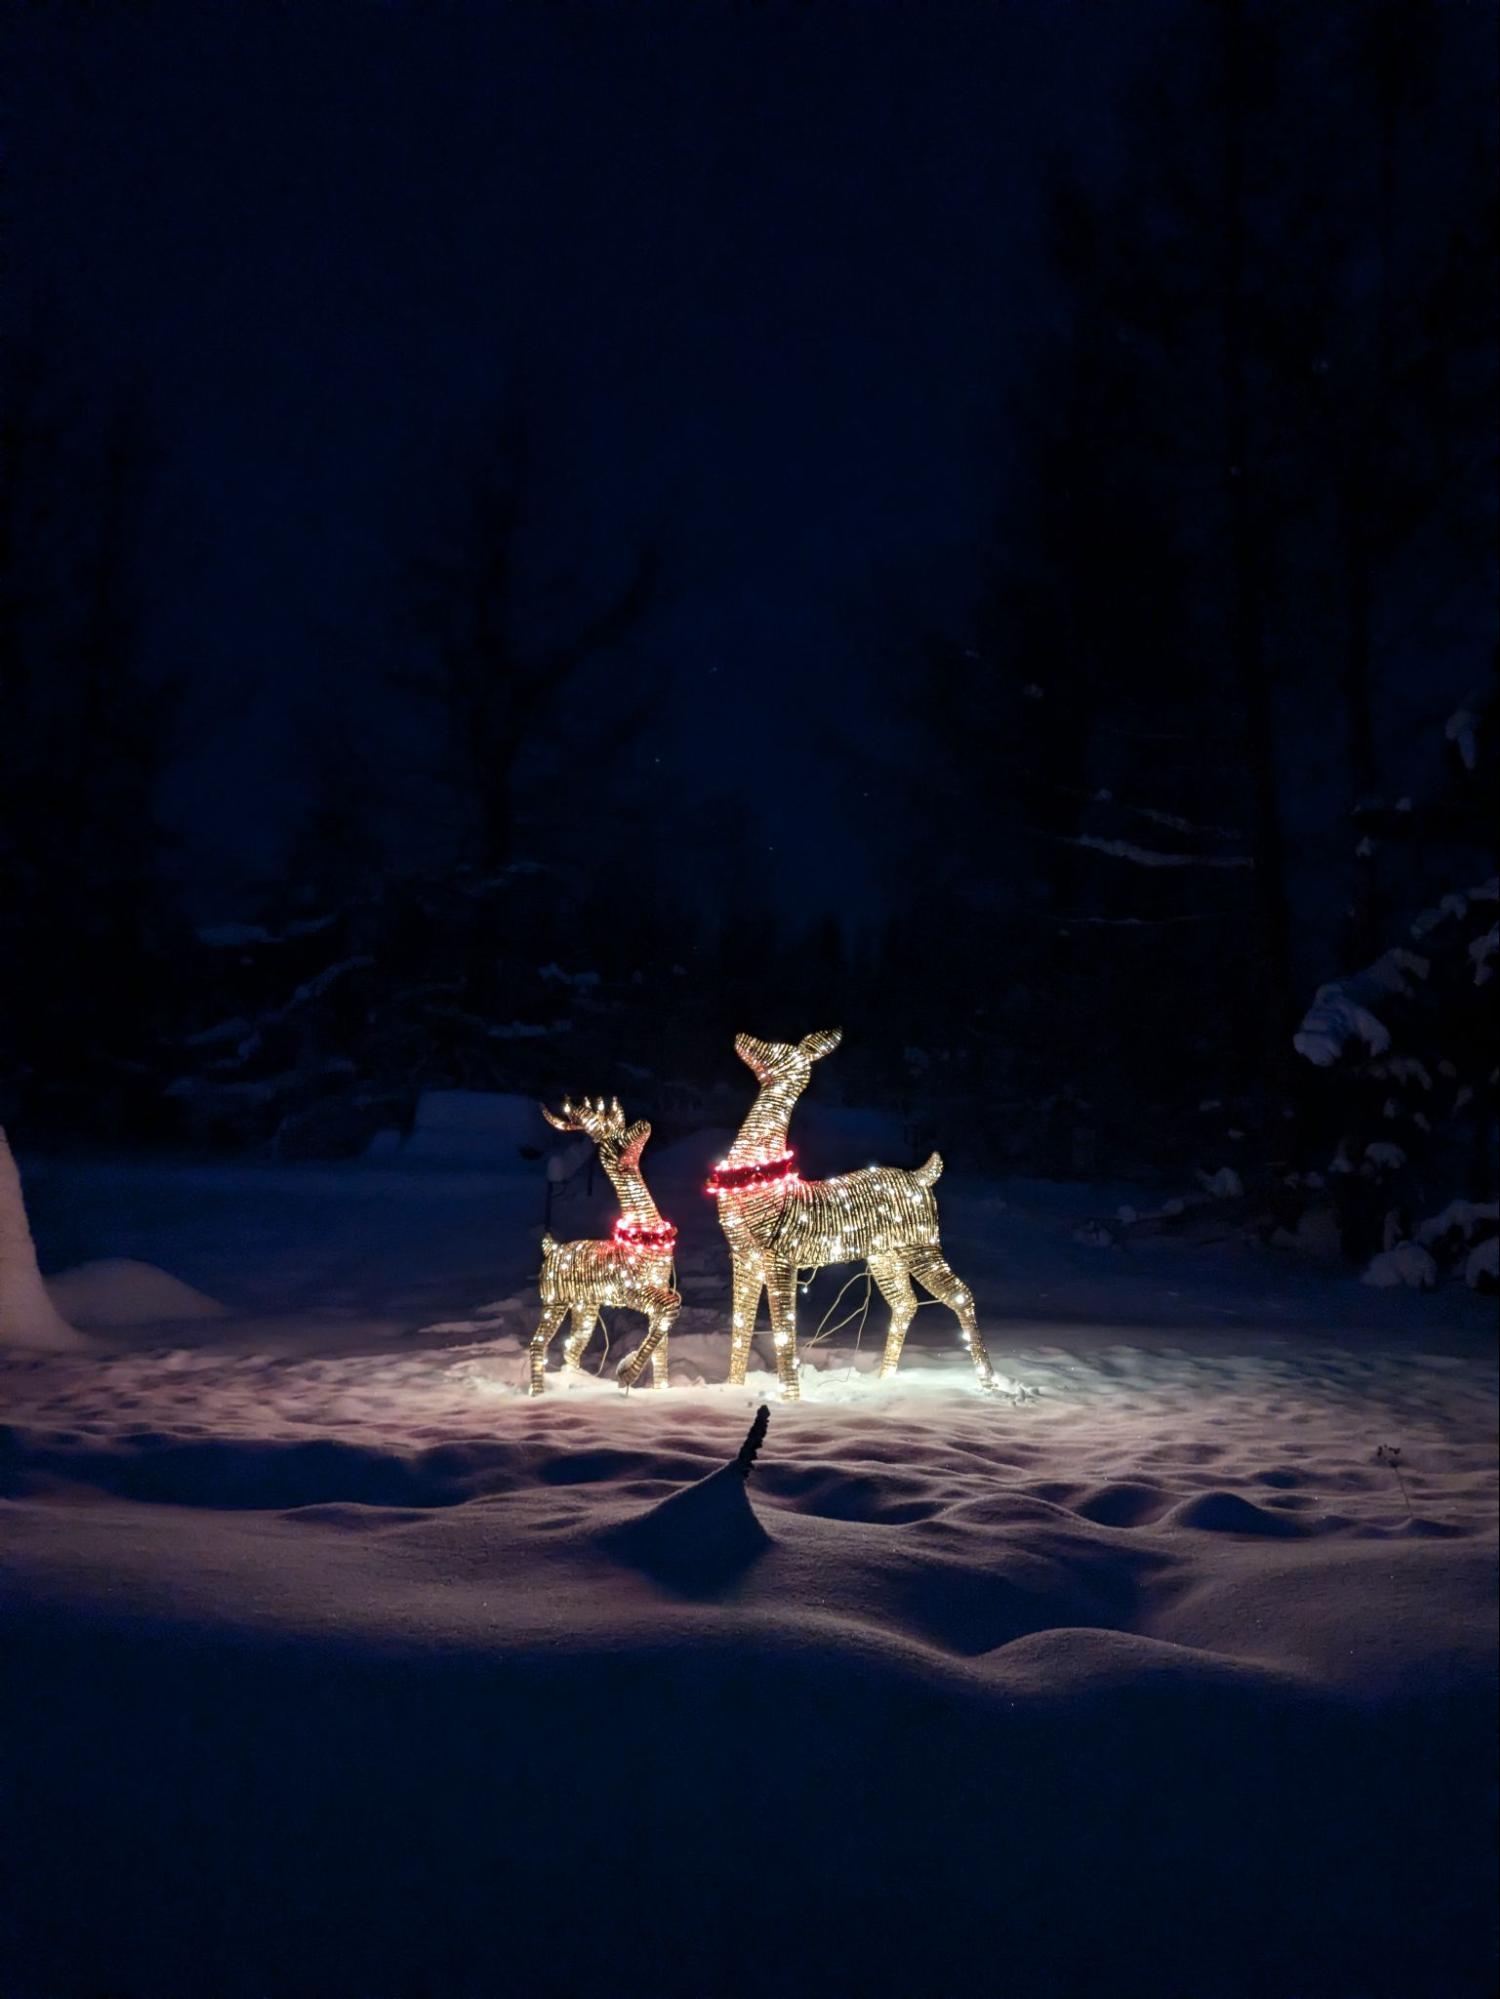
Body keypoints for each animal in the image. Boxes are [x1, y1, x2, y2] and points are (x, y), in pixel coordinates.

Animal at [530, 1097, 680, 1395]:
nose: (644, 1123)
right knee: (537, 1344)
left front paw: (660, 1389)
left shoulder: (659, 1286)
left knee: (571, 1350)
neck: (644, 1234)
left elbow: (663, 1340)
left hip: (585, 1307)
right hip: (554, 1302)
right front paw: (627, 1374)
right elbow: (669, 1310)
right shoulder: (634, 1291)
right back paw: (537, 1394)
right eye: (616, 1140)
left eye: (621, 1126)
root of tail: (551, 1249)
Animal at [709, 1031, 1004, 1401]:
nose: (741, 1036)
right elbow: (741, 1325)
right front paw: (731, 1389)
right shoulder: (744, 1256)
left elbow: (783, 1326)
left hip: (922, 1247)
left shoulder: (780, 1256)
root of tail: (923, 1177)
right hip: (884, 1255)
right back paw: (885, 1380)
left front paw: (790, 1397)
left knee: (961, 1294)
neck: (759, 1173)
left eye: (777, 1048)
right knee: (905, 1303)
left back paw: (988, 1381)